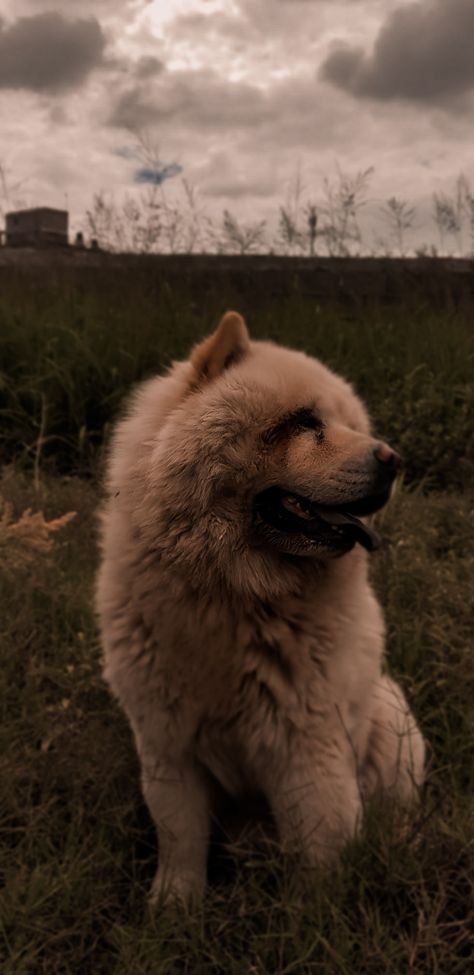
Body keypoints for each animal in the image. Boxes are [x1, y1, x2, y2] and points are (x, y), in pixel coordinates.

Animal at [97, 312, 426, 908]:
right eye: (305, 422)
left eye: (351, 424)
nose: (392, 460)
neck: (232, 597)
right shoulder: (168, 744)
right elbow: (180, 837)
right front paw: (174, 908)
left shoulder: (306, 750)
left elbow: (319, 847)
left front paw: (313, 917)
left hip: (391, 717)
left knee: (398, 811)